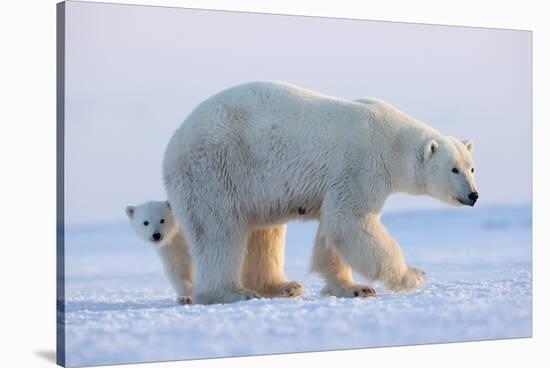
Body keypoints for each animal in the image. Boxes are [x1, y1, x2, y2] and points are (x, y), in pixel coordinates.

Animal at [163, 81, 478, 304]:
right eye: (454, 169)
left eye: (472, 167)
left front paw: (354, 287)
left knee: (265, 232)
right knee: (219, 230)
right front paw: (413, 275)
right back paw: (231, 292)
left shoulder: (339, 181)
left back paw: (283, 286)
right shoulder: (361, 165)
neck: (392, 142)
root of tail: (173, 143)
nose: (473, 195)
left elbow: (331, 231)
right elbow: (350, 220)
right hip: (216, 169)